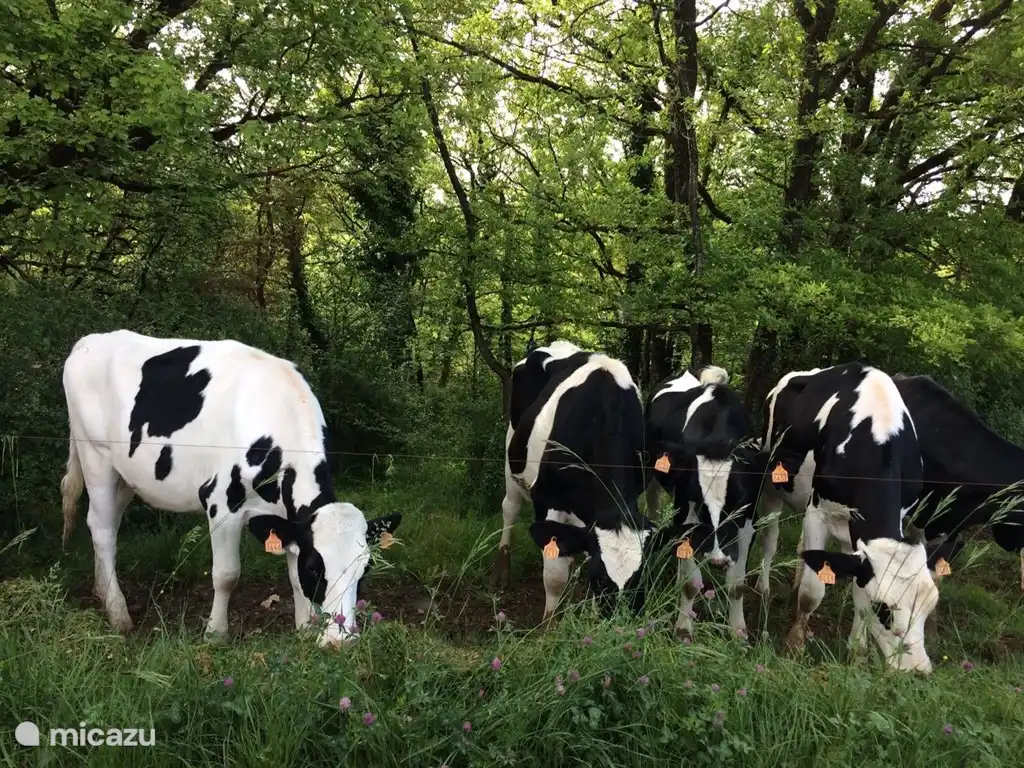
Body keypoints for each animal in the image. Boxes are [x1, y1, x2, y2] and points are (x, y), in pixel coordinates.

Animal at [59, 330, 401, 648]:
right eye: (316, 568)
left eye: (365, 569)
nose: (341, 641)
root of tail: (89, 340)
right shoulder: (221, 502)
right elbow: (226, 575)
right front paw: (215, 634)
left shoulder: (289, 519)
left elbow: (292, 574)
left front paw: (305, 627)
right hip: (95, 455)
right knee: (101, 527)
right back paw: (118, 613)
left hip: (125, 473)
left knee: (111, 525)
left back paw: (102, 591)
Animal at [505, 350, 681, 619]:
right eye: (599, 579)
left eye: (641, 579)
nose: (620, 622)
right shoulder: (547, 498)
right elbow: (554, 576)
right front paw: (550, 621)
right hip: (512, 457)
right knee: (510, 509)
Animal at [644, 365, 787, 639]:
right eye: (700, 502)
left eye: (739, 501)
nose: (719, 560)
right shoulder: (686, 513)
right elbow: (691, 583)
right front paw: (684, 627)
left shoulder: (747, 523)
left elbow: (737, 585)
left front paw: (738, 630)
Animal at [755, 363, 940, 673]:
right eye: (884, 608)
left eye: (930, 606)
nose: (918, 671)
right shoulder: (818, 512)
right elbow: (813, 591)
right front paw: (795, 645)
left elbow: (857, 591)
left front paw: (858, 653)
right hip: (771, 486)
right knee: (770, 540)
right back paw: (763, 588)